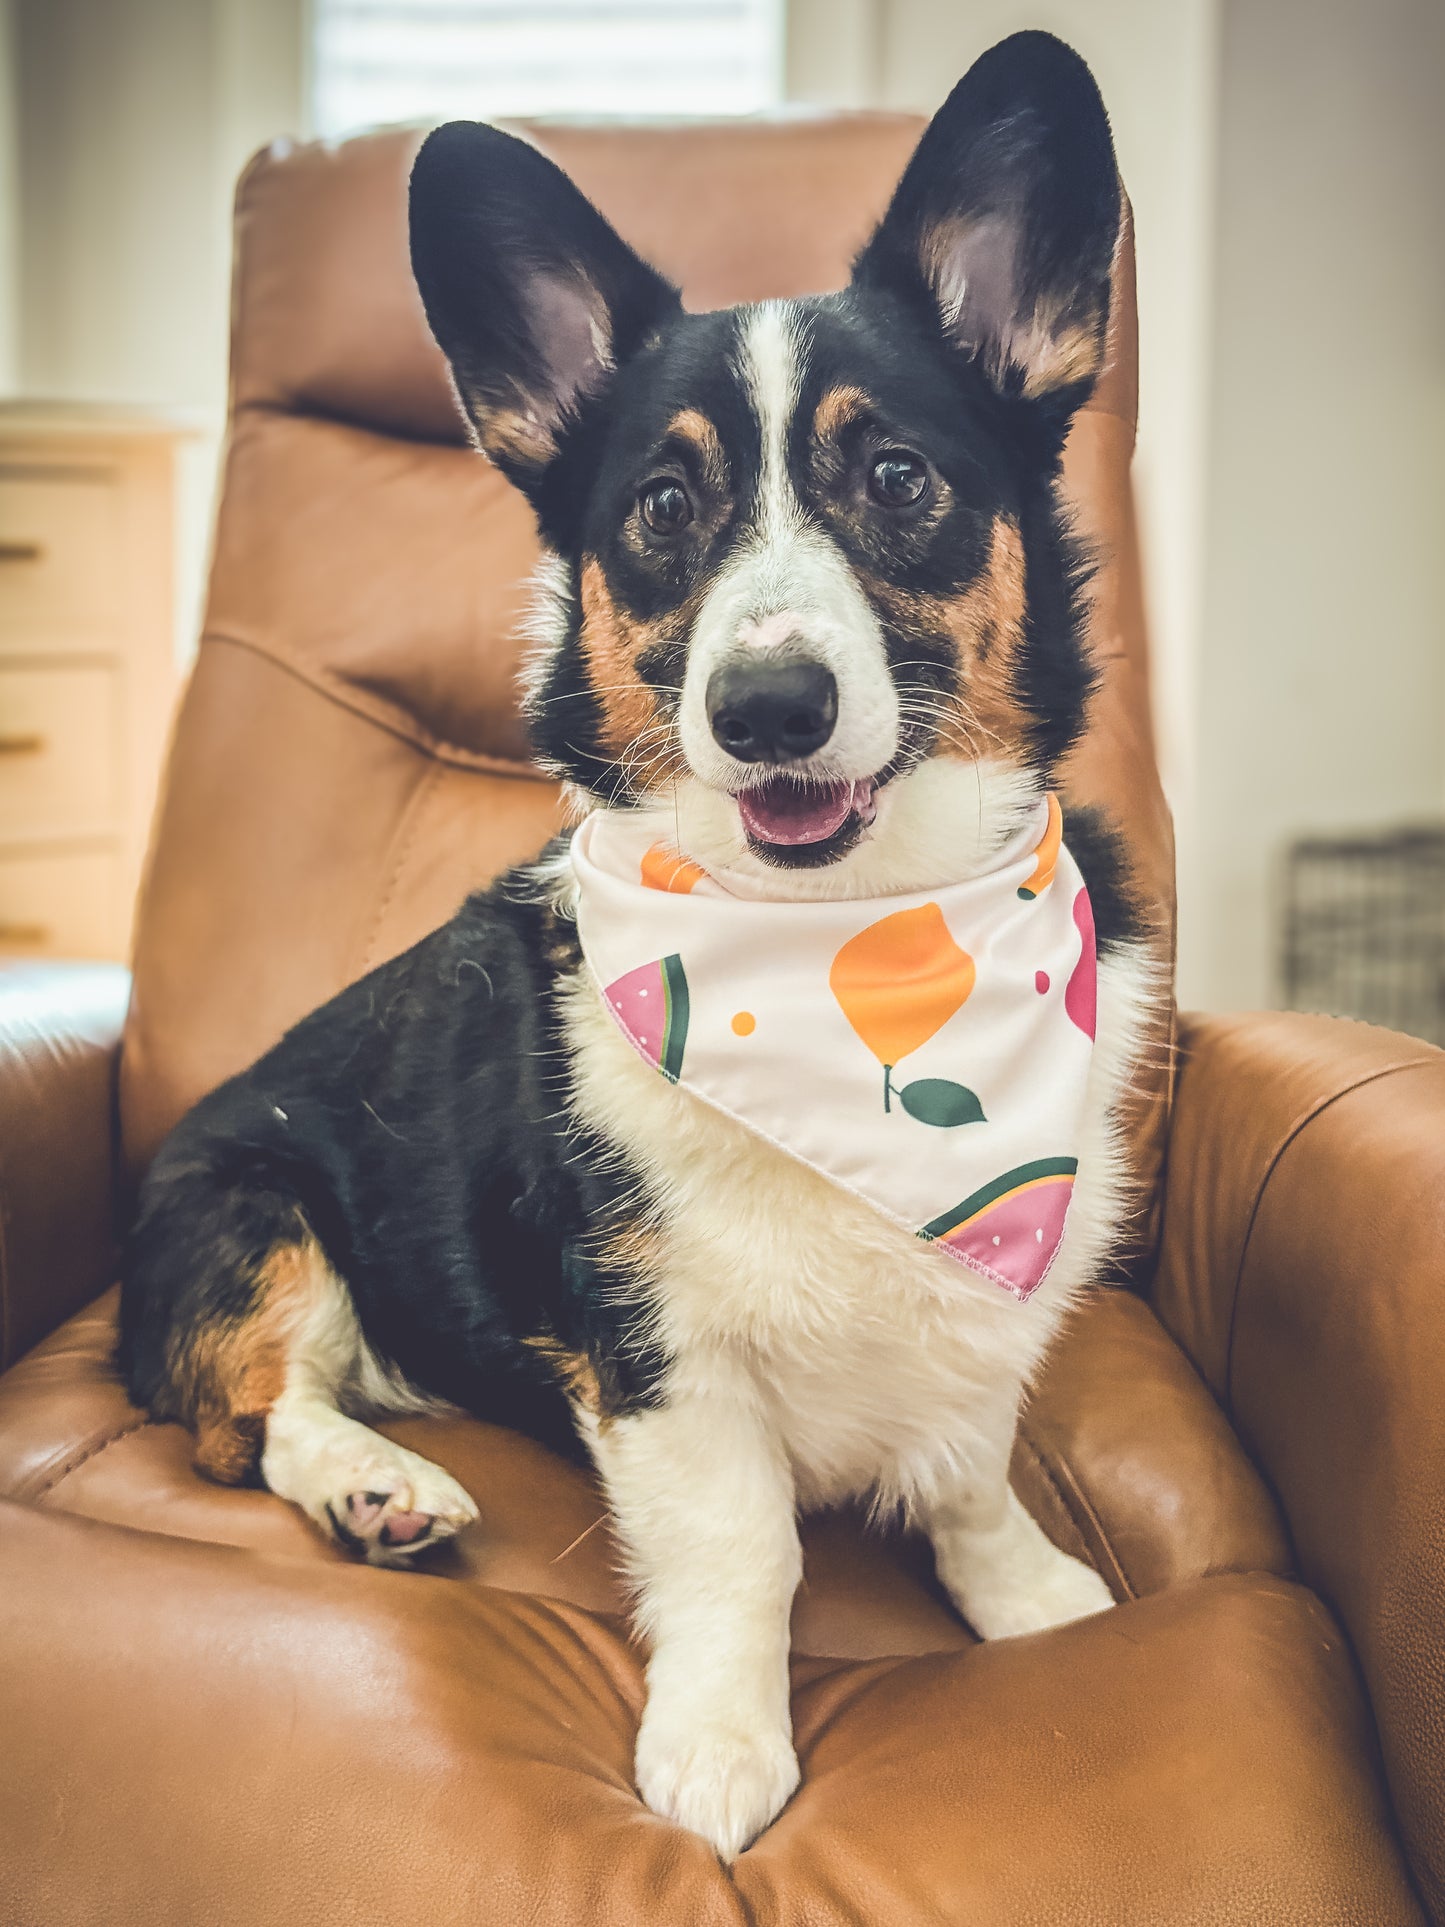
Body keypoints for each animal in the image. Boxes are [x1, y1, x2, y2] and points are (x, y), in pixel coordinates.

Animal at [121, 30, 1163, 1857]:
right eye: (666, 506)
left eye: (898, 478)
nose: (768, 708)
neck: (842, 952)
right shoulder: (657, 1354)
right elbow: (746, 1548)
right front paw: (725, 1747)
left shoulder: (983, 1315)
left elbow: (972, 1467)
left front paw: (1031, 1596)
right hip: (253, 1213)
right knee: (248, 1414)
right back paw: (375, 1486)